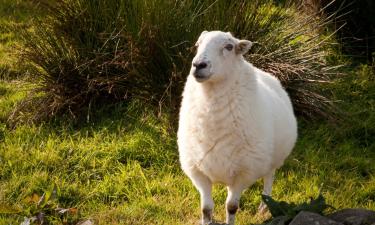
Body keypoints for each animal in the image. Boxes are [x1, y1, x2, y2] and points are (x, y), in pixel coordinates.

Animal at [178, 30, 298, 225]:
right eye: (197, 44)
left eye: (229, 47)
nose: (198, 65)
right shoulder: (198, 171)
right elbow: (206, 209)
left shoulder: (244, 172)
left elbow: (231, 207)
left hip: (272, 159)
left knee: (269, 178)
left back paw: (264, 207)